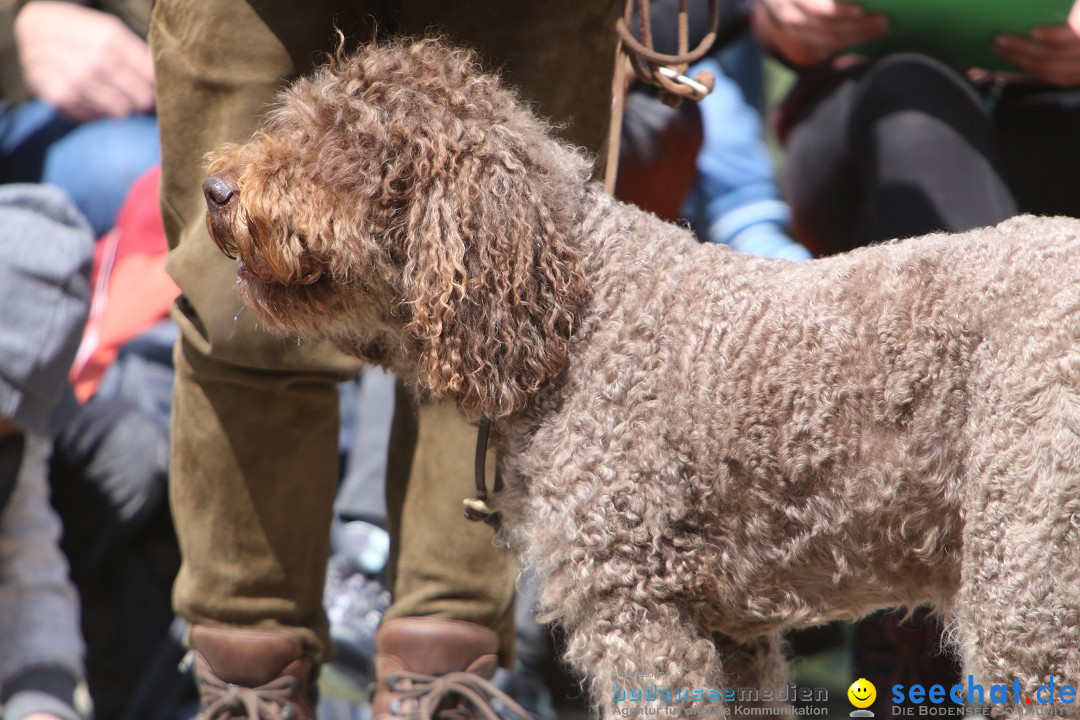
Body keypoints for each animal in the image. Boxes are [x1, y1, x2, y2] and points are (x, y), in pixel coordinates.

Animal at [204, 39, 1080, 716]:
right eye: (297, 120)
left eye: (343, 143)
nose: (216, 190)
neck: (574, 318)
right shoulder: (730, 631)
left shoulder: (638, 604)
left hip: (1027, 586)